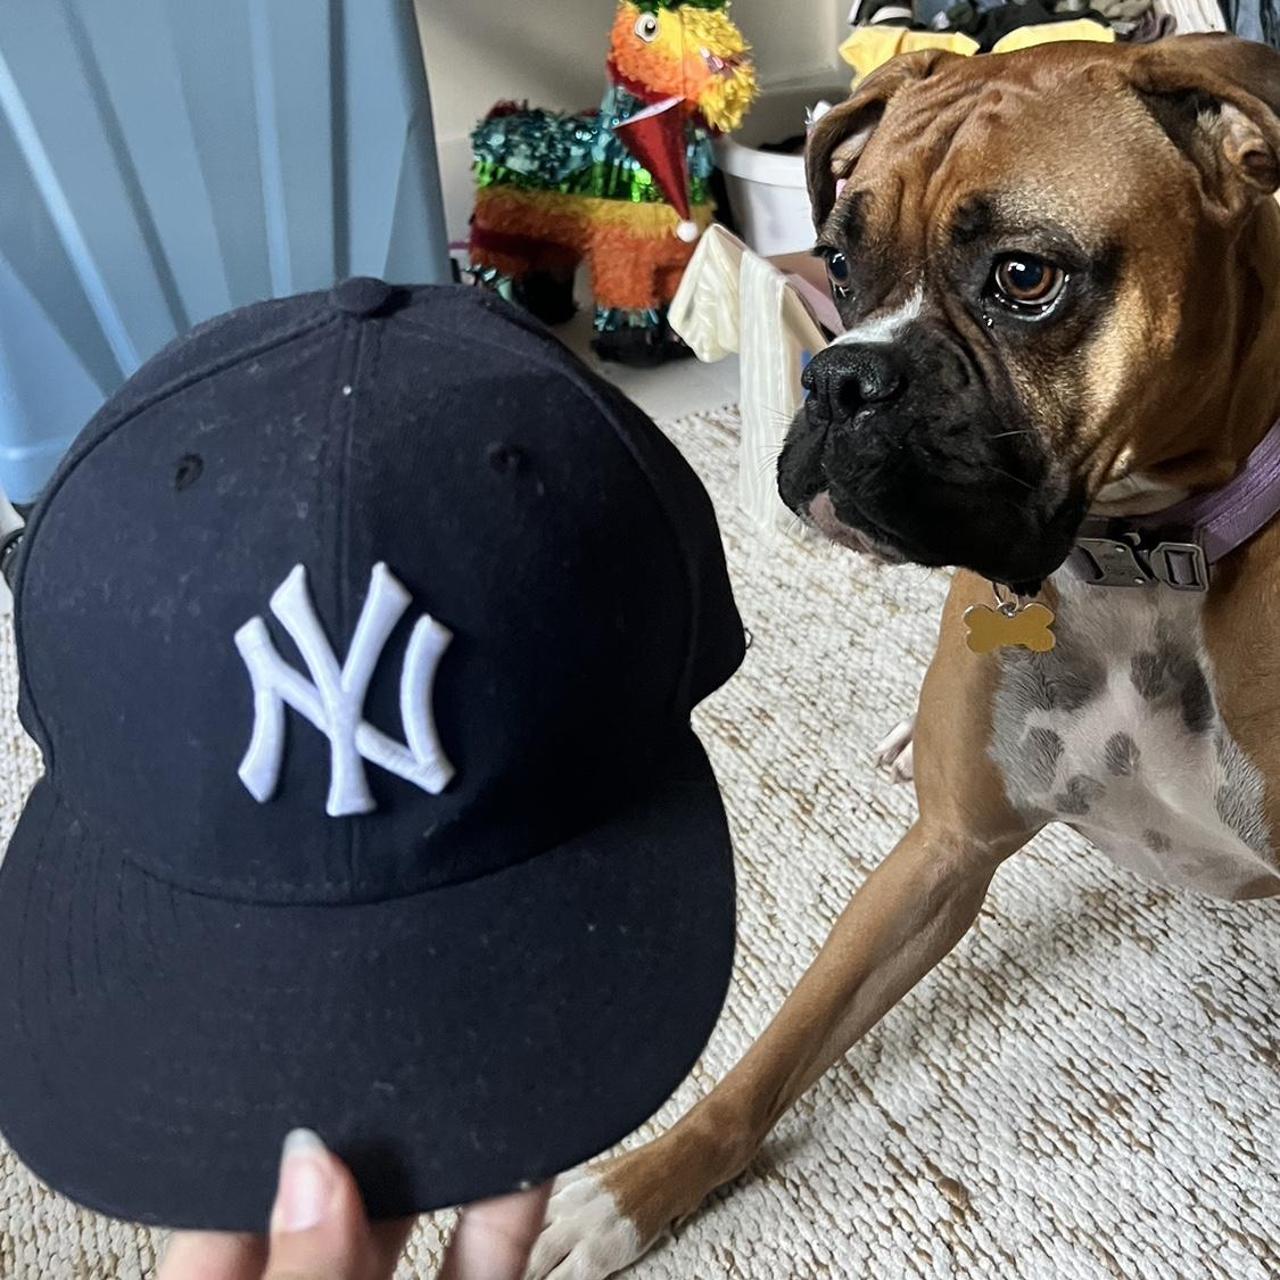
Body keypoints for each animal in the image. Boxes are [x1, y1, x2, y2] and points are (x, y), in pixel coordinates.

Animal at [522, 35, 1280, 1274]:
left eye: (1023, 277)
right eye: (838, 261)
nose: (839, 378)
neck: (1137, 561)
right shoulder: (938, 854)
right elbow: (778, 1042)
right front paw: (625, 1189)